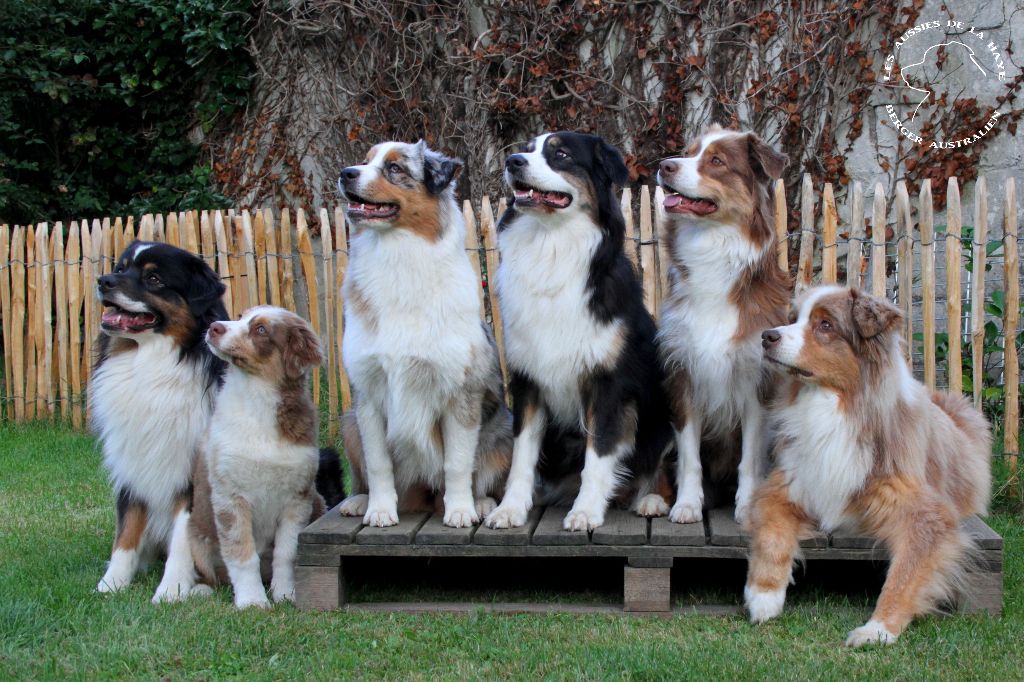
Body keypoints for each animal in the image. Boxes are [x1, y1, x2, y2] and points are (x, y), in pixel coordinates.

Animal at [483, 130, 675, 528]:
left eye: (561, 155)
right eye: (527, 150)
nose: (512, 161)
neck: (552, 247)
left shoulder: (607, 383)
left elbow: (598, 454)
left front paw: (586, 510)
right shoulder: (527, 381)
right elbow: (522, 455)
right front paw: (510, 508)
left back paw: (650, 499)